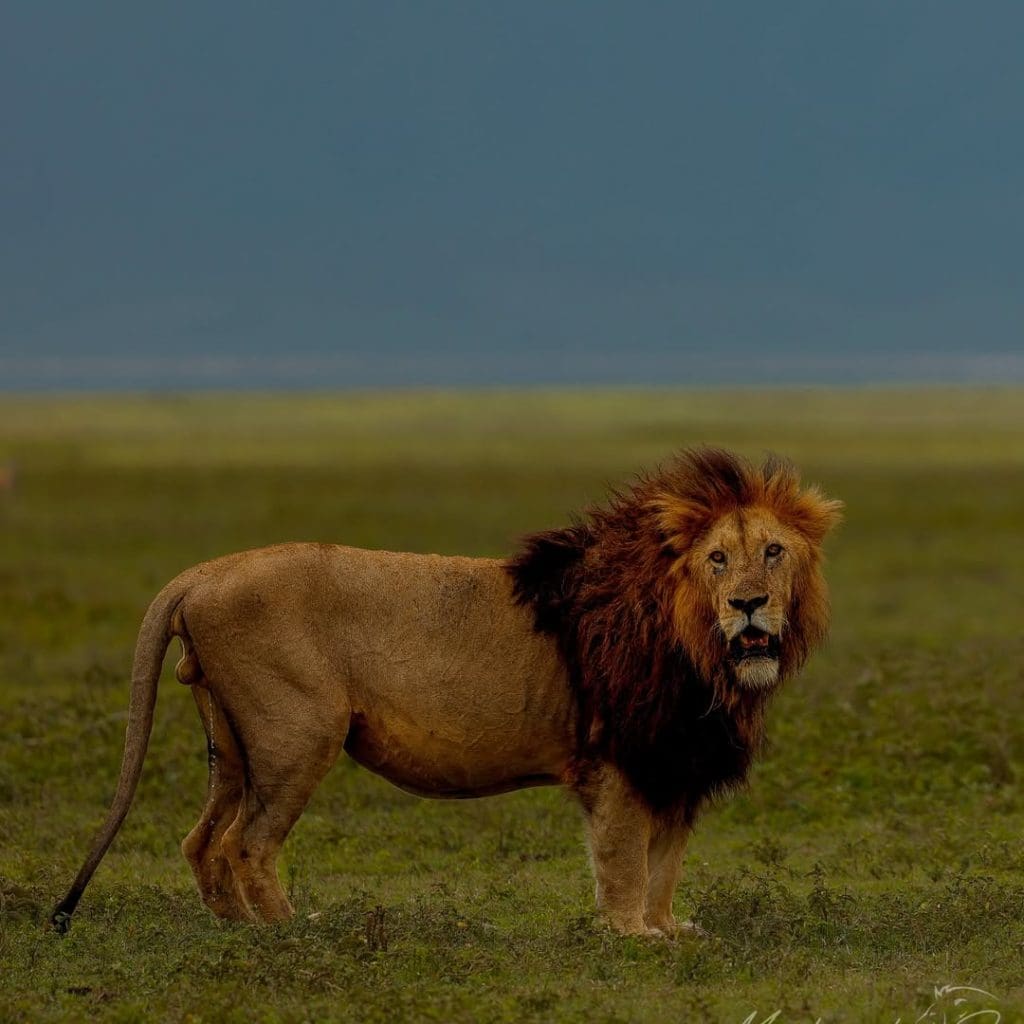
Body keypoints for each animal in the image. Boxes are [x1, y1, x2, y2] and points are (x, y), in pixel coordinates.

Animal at [52, 447, 841, 936]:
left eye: (773, 551)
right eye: (718, 559)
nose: (748, 605)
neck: (700, 650)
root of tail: (204, 572)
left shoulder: (675, 762)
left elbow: (664, 864)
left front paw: (668, 927)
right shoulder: (622, 761)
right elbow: (623, 859)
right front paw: (631, 935)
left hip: (232, 740)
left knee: (201, 840)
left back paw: (240, 929)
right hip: (296, 735)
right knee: (247, 842)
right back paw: (290, 932)